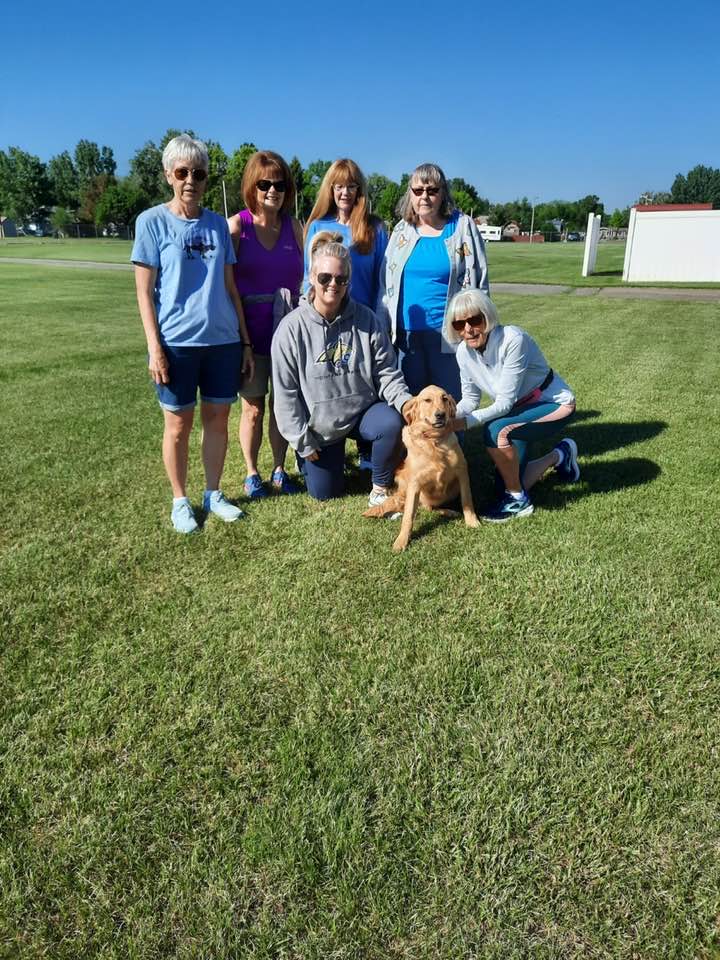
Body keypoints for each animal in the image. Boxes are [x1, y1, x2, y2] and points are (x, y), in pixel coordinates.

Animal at [366, 380, 478, 548]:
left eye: (444, 399)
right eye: (427, 400)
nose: (440, 415)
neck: (435, 442)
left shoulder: (462, 472)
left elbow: (467, 500)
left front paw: (472, 521)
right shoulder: (415, 484)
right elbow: (408, 516)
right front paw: (402, 540)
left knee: (430, 507)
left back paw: (449, 511)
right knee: (424, 508)